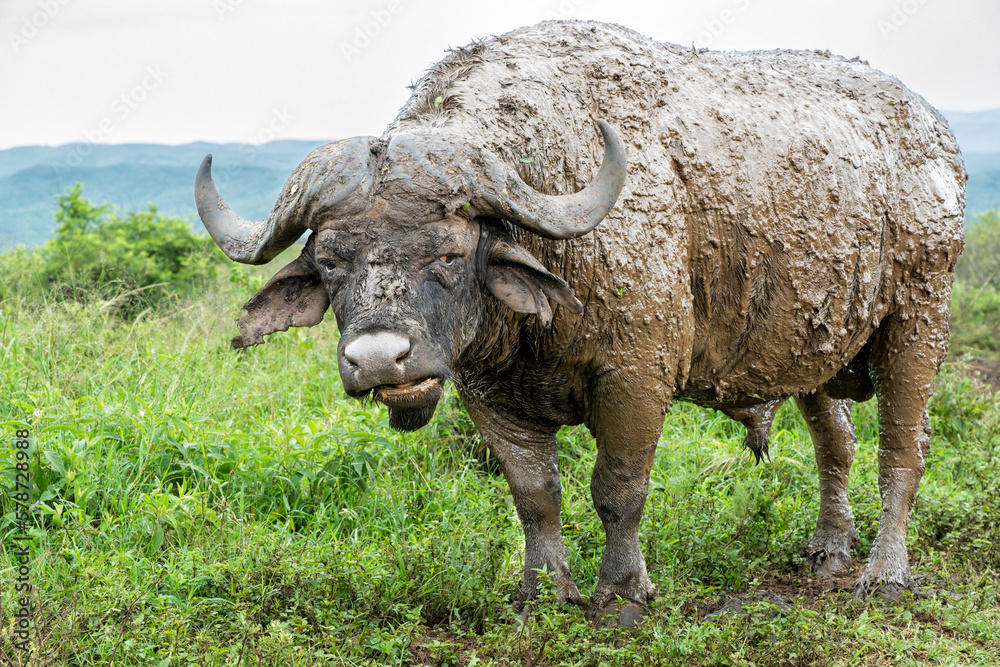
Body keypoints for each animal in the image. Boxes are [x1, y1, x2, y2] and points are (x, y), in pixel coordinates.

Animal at [194, 21, 965, 624]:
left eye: (449, 252)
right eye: (330, 261)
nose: (381, 359)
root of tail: (935, 141)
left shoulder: (635, 380)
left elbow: (618, 489)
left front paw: (621, 592)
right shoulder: (488, 392)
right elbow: (535, 494)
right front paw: (544, 592)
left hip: (917, 319)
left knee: (903, 451)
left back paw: (883, 572)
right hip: (816, 346)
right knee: (836, 442)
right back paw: (829, 550)